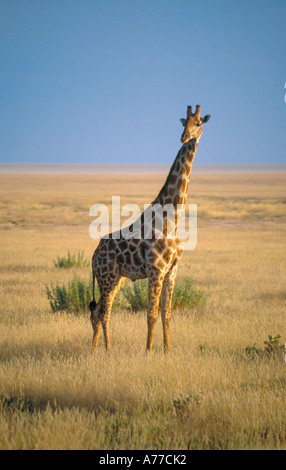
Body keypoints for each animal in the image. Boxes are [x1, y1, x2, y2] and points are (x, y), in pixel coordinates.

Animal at [89, 104, 210, 350]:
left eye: (198, 123)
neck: (172, 220)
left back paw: (95, 350)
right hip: (107, 278)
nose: (184, 137)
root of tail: (93, 257)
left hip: (117, 278)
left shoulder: (172, 271)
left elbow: (167, 315)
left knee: (98, 312)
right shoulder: (156, 270)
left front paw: (167, 350)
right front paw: (148, 352)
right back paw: (106, 350)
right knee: (102, 313)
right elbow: (151, 315)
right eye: (184, 122)